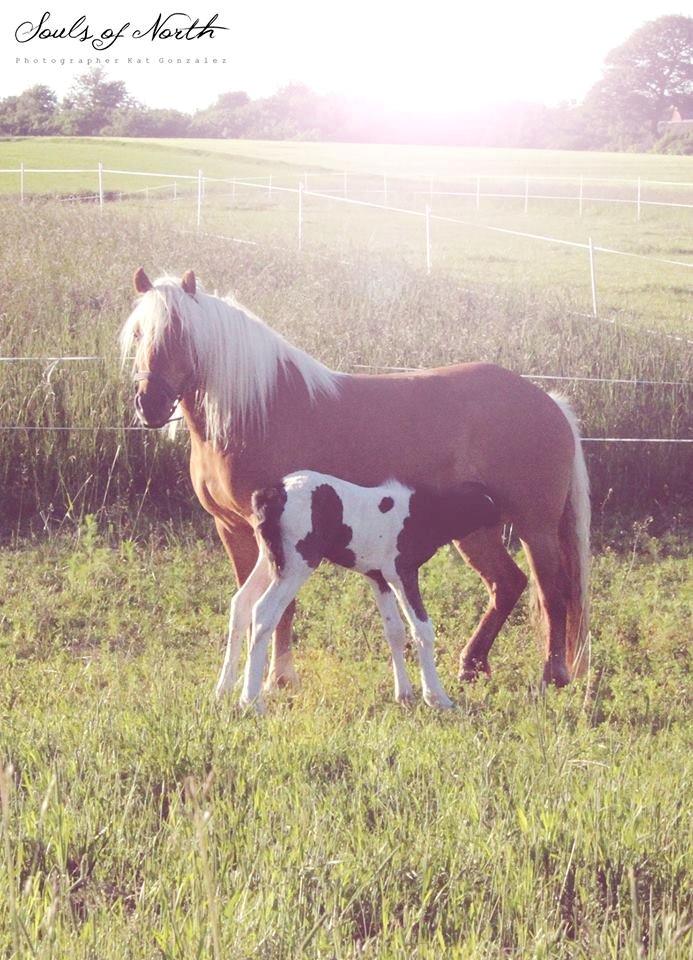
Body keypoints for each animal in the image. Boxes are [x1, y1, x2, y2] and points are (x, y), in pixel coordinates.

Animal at [121, 270, 588, 688]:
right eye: (139, 334)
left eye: (180, 334)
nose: (149, 404)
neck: (257, 409)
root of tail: (549, 402)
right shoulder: (233, 528)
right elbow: (247, 602)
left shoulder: (282, 538)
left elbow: (282, 608)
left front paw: (279, 679)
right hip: (476, 530)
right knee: (508, 584)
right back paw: (471, 665)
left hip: (535, 526)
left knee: (553, 592)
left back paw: (553, 676)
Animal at [214, 472, 500, 712]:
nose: (501, 524)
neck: (421, 513)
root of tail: (273, 493)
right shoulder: (402, 573)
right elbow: (422, 630)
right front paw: (437, 697)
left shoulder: (379, 579)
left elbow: (395, 631)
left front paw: (405, 695)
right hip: (297, 564)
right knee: (263, 612)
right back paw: (250, 701)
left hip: (269, 560)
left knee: (240, 603)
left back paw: (223, 689)